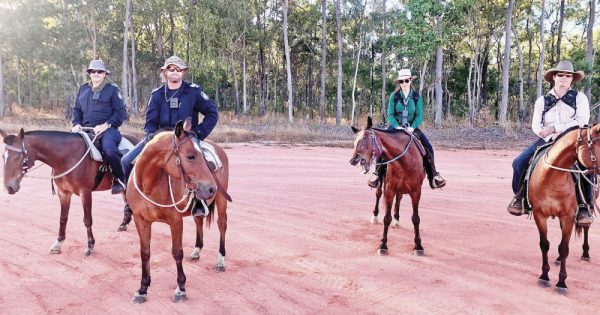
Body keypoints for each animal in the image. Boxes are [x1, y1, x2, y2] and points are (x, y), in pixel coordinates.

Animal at [0, 128, 138, 256]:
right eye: (3, 156)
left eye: (18, 156)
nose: (9, 187)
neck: (68, 157)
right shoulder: (64, 193)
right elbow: (63, 218)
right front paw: (58, 243)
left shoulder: (85, 192)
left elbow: (87, 219)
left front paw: (90, 245)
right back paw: (124, 223)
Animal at [125, 119, 231, 304]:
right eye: (190, 156)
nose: (211, 188)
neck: (149, 186)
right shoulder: (141, 220)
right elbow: (145, 253)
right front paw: (142, 289)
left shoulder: (175, 220)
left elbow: (177, 252)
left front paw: (181, 289)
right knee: (199, 220)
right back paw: (196, 251)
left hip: (221, 200)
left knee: (222, 225)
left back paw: (220, 261)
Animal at [346, 117, 426, 256]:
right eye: (355, 142)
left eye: (365, 141)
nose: (353, 160)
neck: (405, 160)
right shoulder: (389, 190)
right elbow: (386, 218)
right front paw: (383, 245)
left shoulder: (416, 192)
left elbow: (416, 218)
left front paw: (418, 246)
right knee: (378, 194)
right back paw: (375, 217)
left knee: (399, 199)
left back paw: (397, 220)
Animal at [528, 123, 600, 294]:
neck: (551, 178)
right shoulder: (539, 215)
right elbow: (545, 245)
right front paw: (544, 276)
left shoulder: (568, 216)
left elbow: (564, 248)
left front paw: (561, 283)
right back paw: (559, 260)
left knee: (586, 227)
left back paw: (585, 254)